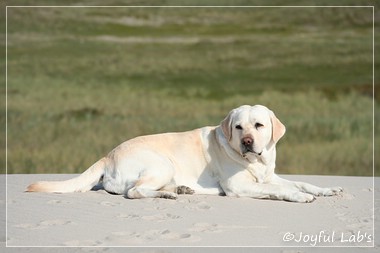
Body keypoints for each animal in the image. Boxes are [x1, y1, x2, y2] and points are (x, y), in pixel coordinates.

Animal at [26, 105, 342, 204]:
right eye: (238, 127)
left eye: (259, 125)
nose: (247, 141)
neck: (256, 161)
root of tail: (107, 155)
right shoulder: (240, 187)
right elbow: (283, 190)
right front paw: (299, 197)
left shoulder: (269, 175)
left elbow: (301, 182)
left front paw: (328, 189)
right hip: (161, 163)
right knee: (135, 192)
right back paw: (168, 194)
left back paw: (179, 189)